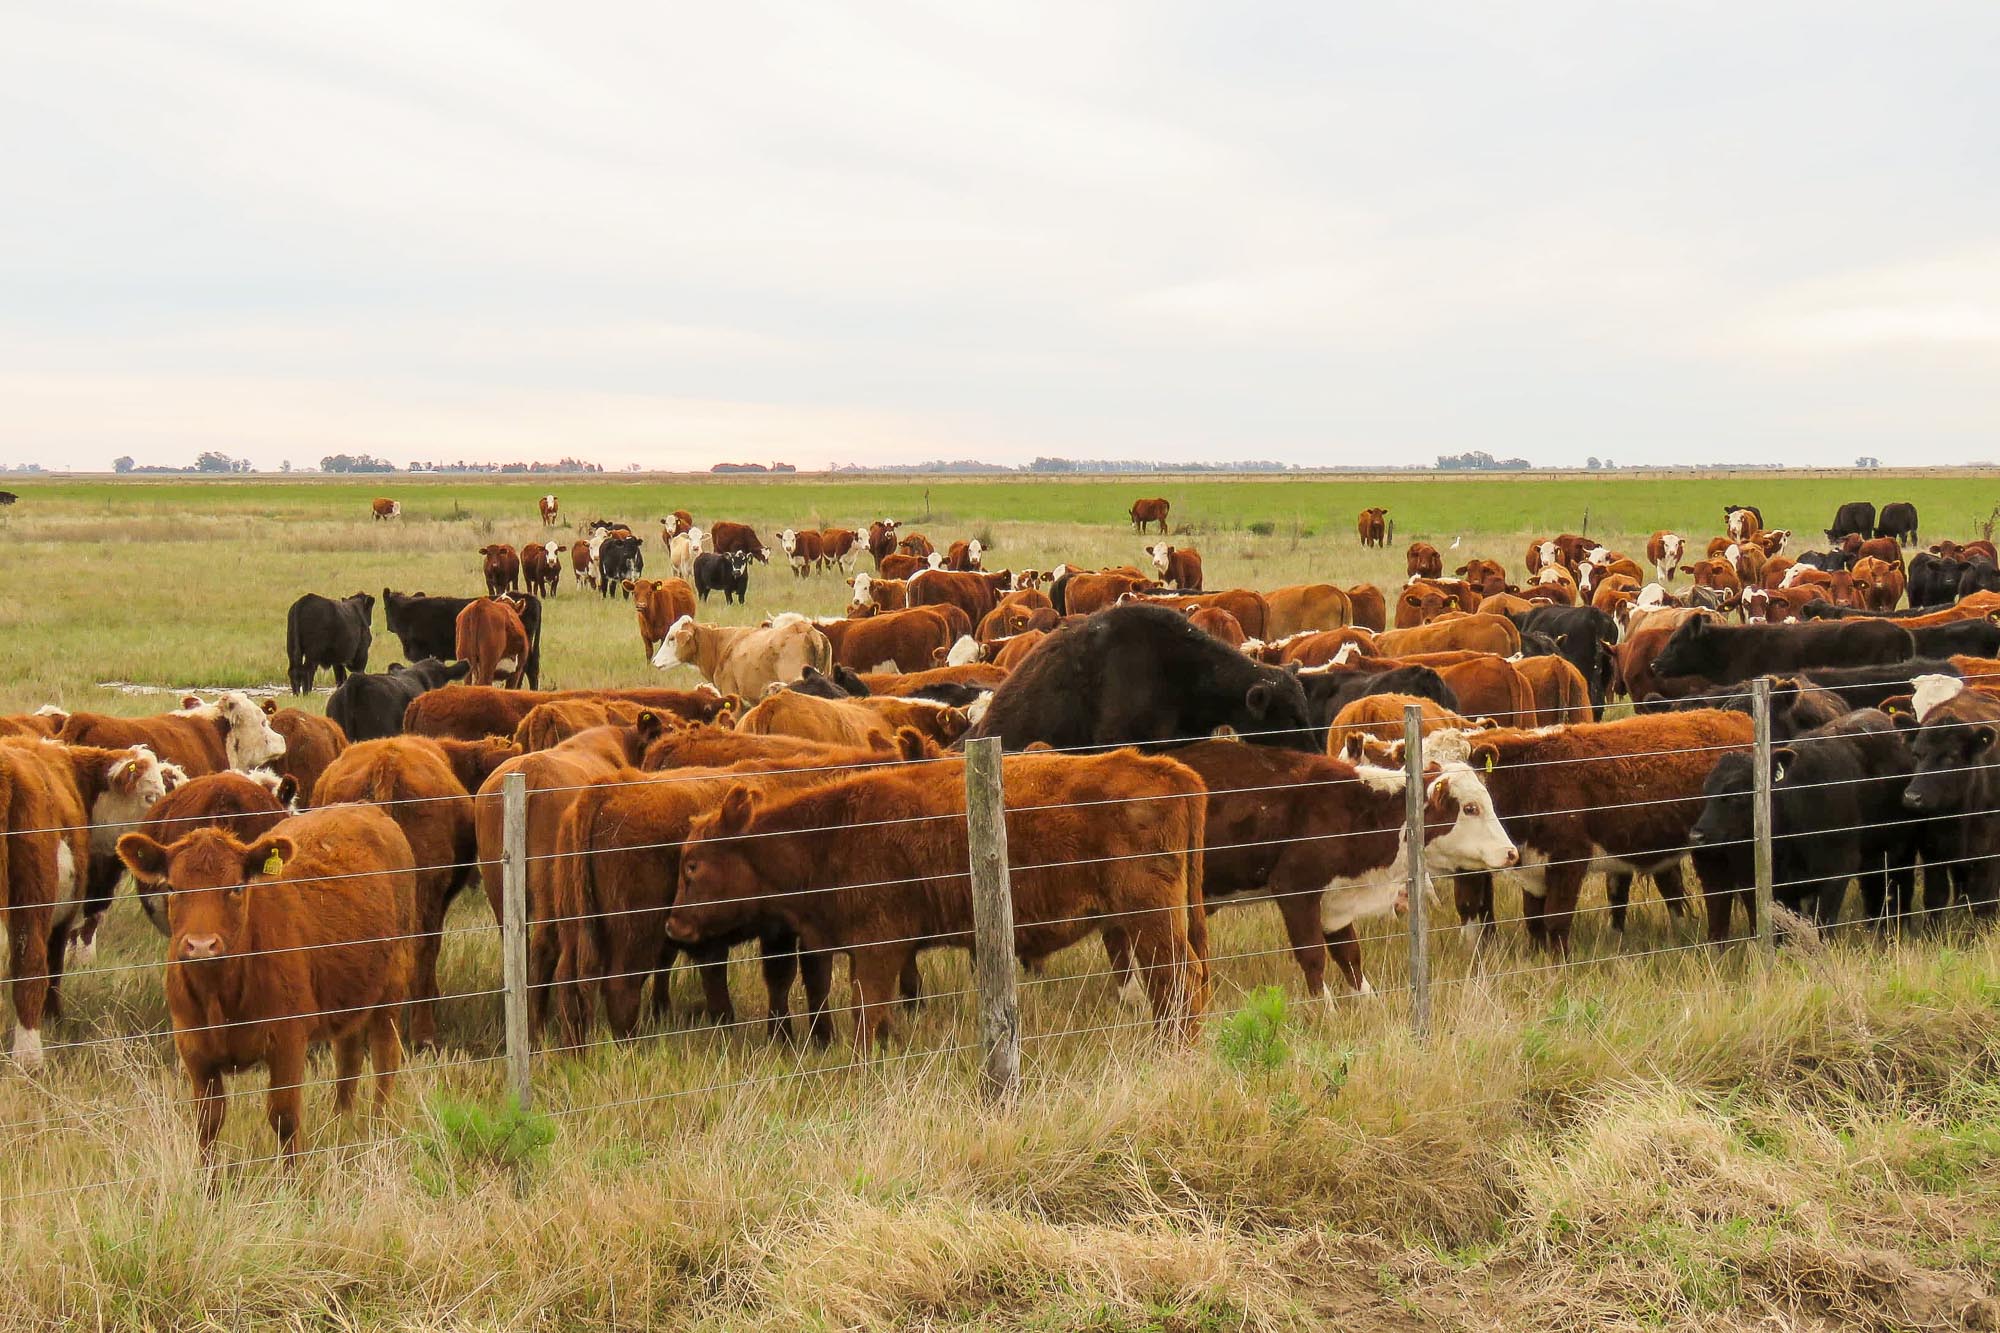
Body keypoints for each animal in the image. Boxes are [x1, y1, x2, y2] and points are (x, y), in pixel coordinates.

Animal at [113, 800, 418, 1160]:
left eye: (236, 887)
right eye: (173, 887)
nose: (201, 945)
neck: (220, 996)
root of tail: (360, 807)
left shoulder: (288, 1041)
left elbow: (284, 1118)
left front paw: (294, 1176)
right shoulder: (192, 1047)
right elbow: (207, 1122)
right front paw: (207, 1178)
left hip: (393, 983)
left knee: (385, 1057)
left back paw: (378, 1128)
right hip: (352, 989)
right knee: (348, 1056)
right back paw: (340, 1124)